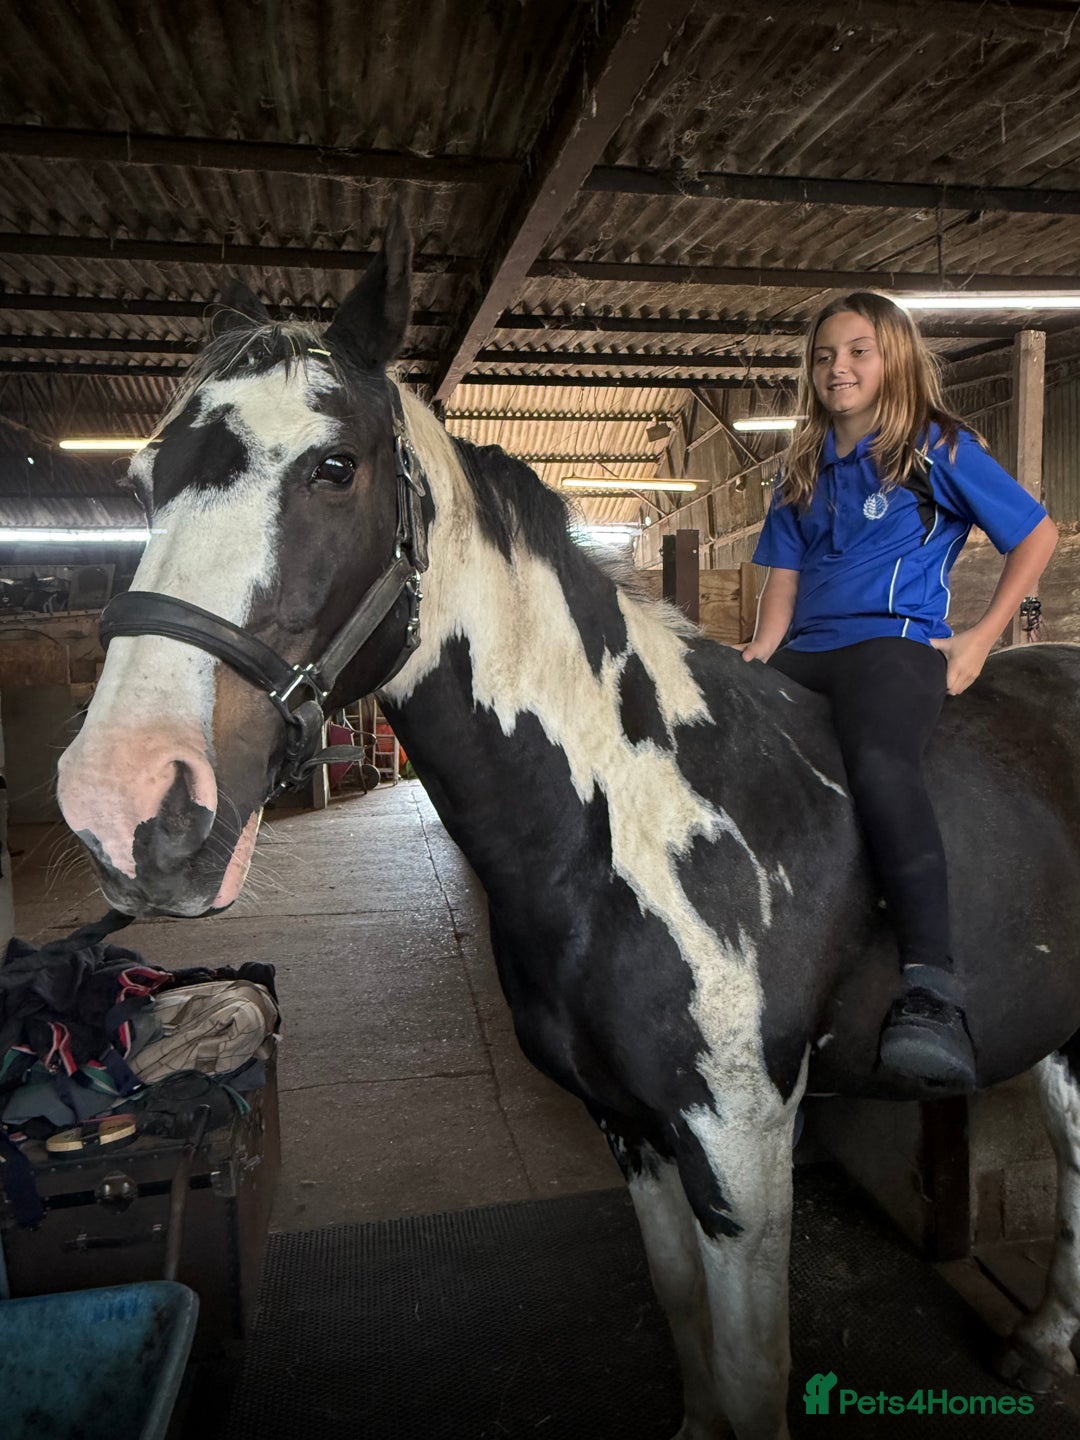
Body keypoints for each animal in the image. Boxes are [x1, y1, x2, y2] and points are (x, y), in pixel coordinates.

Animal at [55, 213, 1080, 1439]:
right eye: (143, 480)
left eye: (334, 467)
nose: (125, 805)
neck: (630, 821)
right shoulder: (631, 1131)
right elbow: (686, 1325)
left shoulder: (740, 1145)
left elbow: (752, 1370)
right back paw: (1043, 1346)